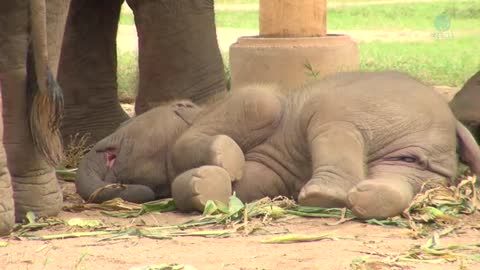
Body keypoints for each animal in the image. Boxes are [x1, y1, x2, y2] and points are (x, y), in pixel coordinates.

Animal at [75, 71, 480, 219]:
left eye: (113, 145)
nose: (99, 150)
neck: (202, 108)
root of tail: (452, 122)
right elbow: (257, 180)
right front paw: (208, 185)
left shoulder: (245, 104)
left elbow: (260, 104)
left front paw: (224, 159)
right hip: (418, 163)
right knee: (398, 171)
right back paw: (369, 199)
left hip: (362, 108)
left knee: (333, 128)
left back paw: (321, 196)